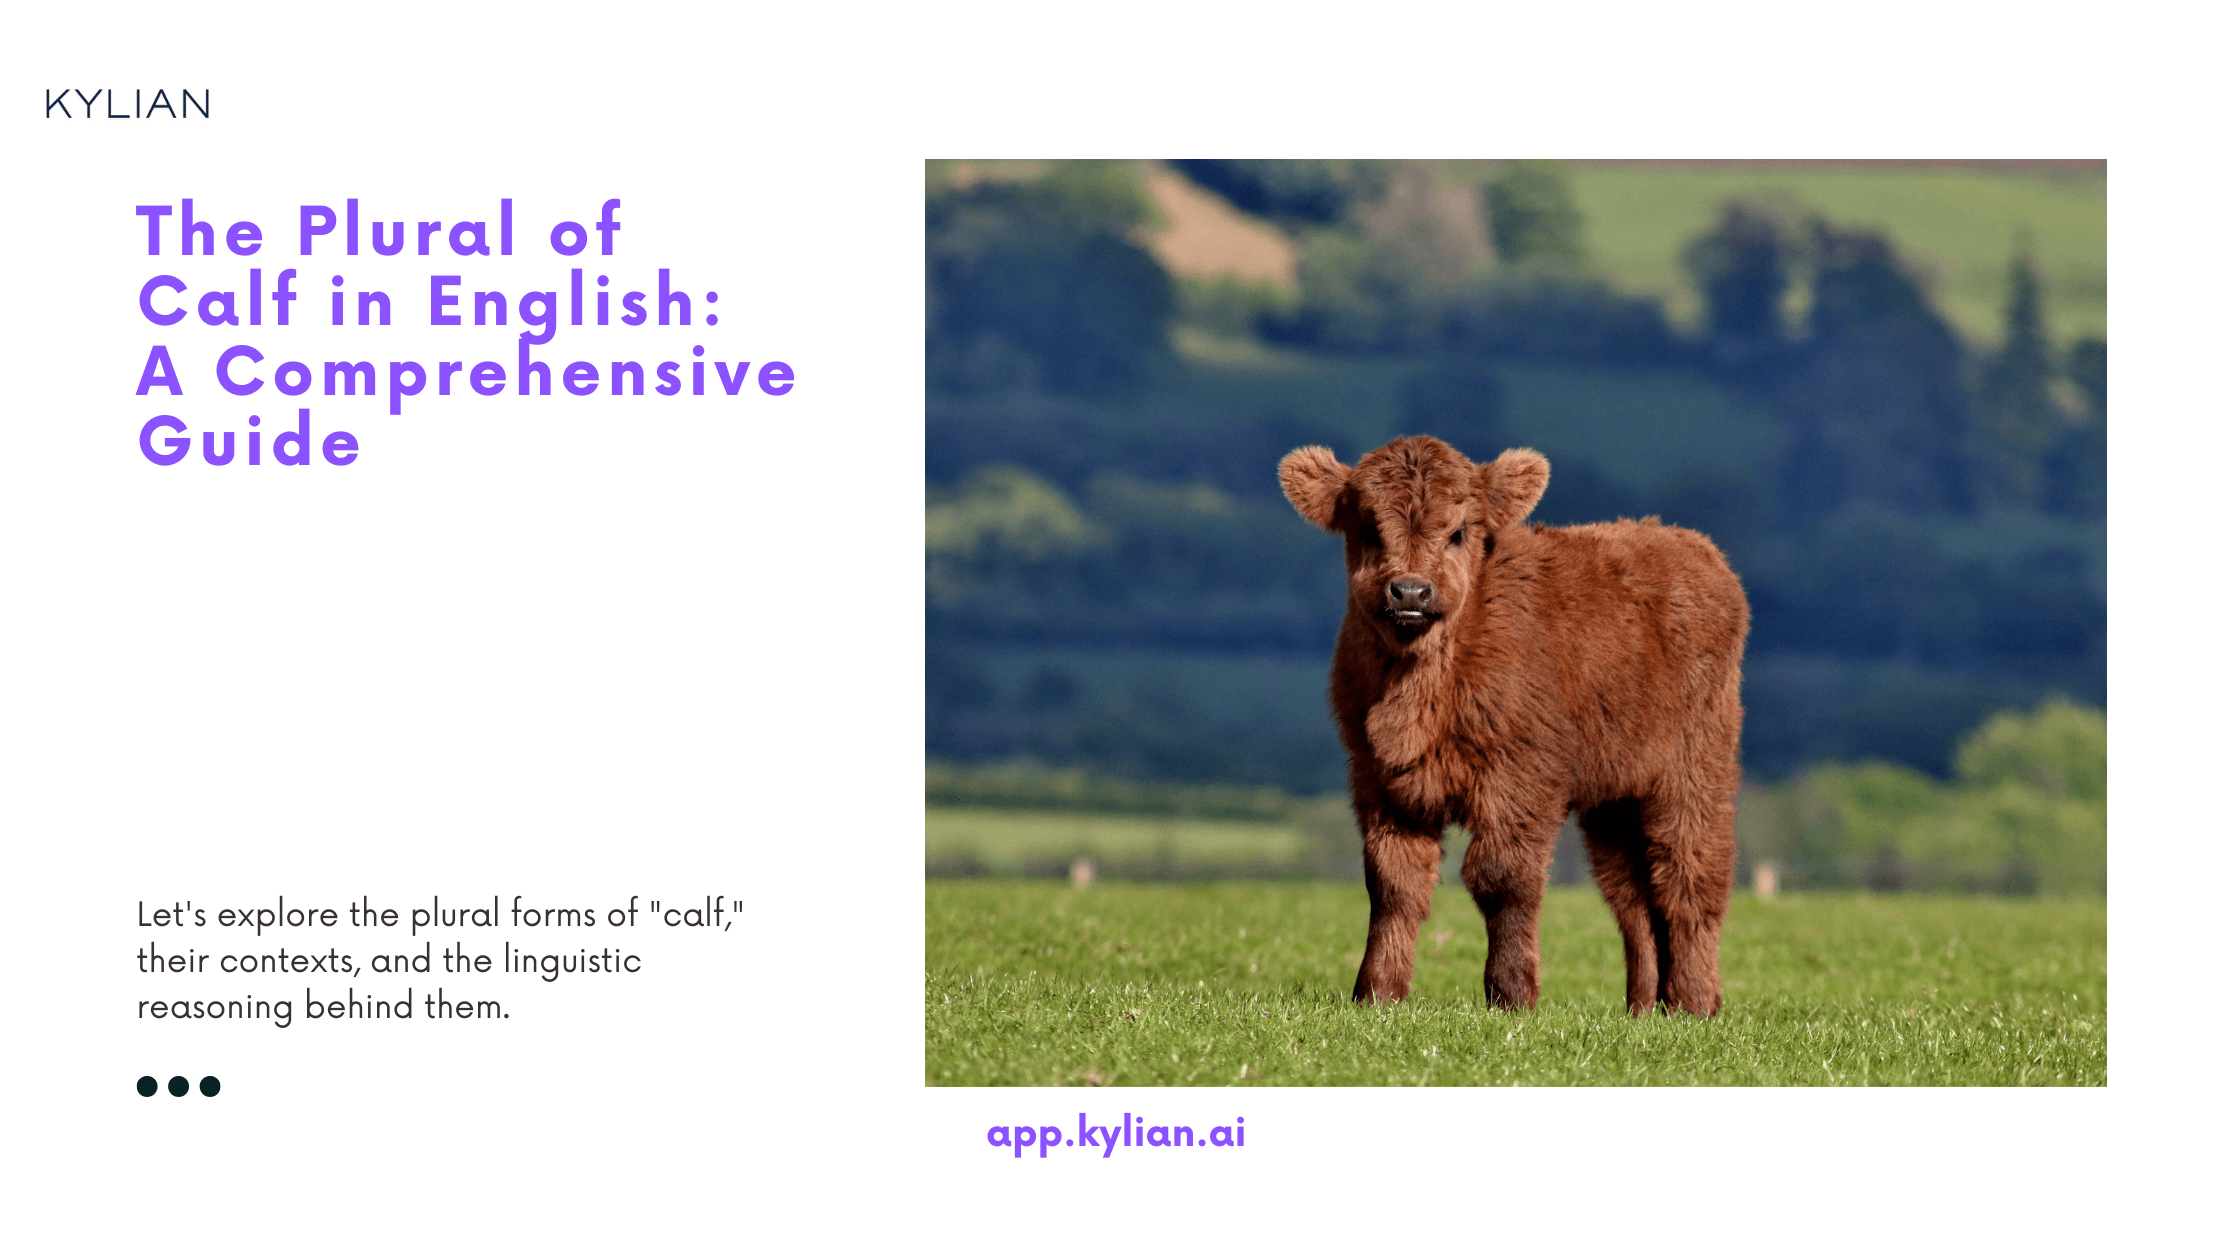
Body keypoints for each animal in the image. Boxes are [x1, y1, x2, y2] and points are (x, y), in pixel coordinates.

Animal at [1278, 435, 1749, 1016]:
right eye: (1367, 529)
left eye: (1459, 532)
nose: (1410, 592)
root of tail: (1689, 543)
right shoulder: (1380, 782)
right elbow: (1394, 884)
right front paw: (1378, 993)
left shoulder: (1521, 781)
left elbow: (1503, 879)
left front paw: (1511, 994)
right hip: (1615, 798)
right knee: (1635, 896)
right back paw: (1644, 1006)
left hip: (1693, 773)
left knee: (1691, 876)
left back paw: (1693, 1002)